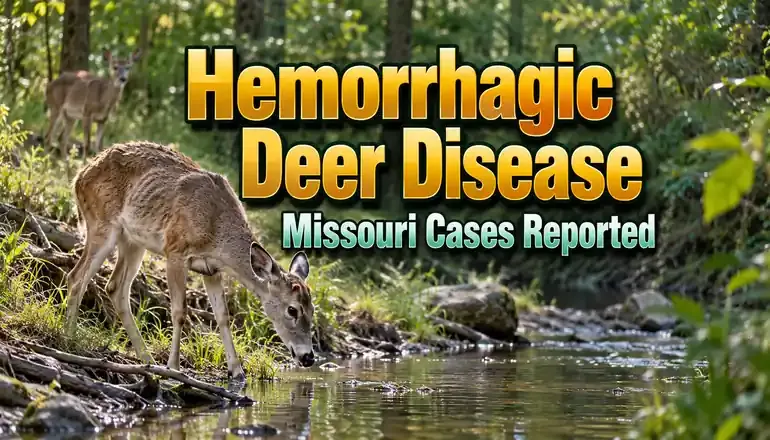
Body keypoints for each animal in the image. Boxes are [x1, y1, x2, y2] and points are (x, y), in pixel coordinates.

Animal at [64, 141, 315, 381]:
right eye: (292, 309)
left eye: (312, 308)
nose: (308, 357)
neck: (217, 232)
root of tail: (78, 178)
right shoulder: (175, 250)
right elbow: (179, 311)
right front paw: (174, 367)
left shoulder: (212, 270)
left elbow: (223, 316)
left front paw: (237, 371)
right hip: (101, 222)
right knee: (77, 277)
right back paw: (70, 338)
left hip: (133, 241)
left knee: (115, 287)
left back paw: (146, 359)